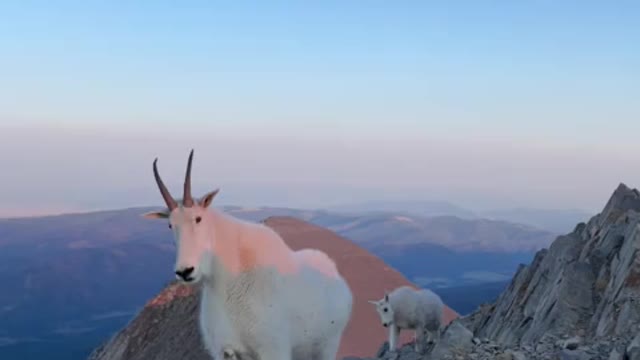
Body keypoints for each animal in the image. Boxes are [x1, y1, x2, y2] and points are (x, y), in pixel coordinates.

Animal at [143, 150, 356, 360]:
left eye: (198, 218)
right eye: (170, 225)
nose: (185, 271)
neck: (229, 282)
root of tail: (337, 276)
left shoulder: (273, 349)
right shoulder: (225, 351)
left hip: (328, 345)